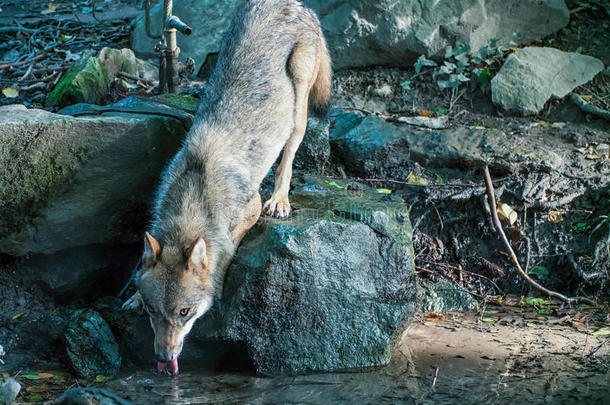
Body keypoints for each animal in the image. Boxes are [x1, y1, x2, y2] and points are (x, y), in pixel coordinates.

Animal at [121, 0, 330, 372]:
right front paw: (133, 297)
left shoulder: (247, 211)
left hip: (299, 97)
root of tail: (293, 4)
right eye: (153, 311)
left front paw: (217, 283)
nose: (163, 359)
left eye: (185, 312)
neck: (195, 193)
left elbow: (226, 250)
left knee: (291, 150)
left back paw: (279, 201)